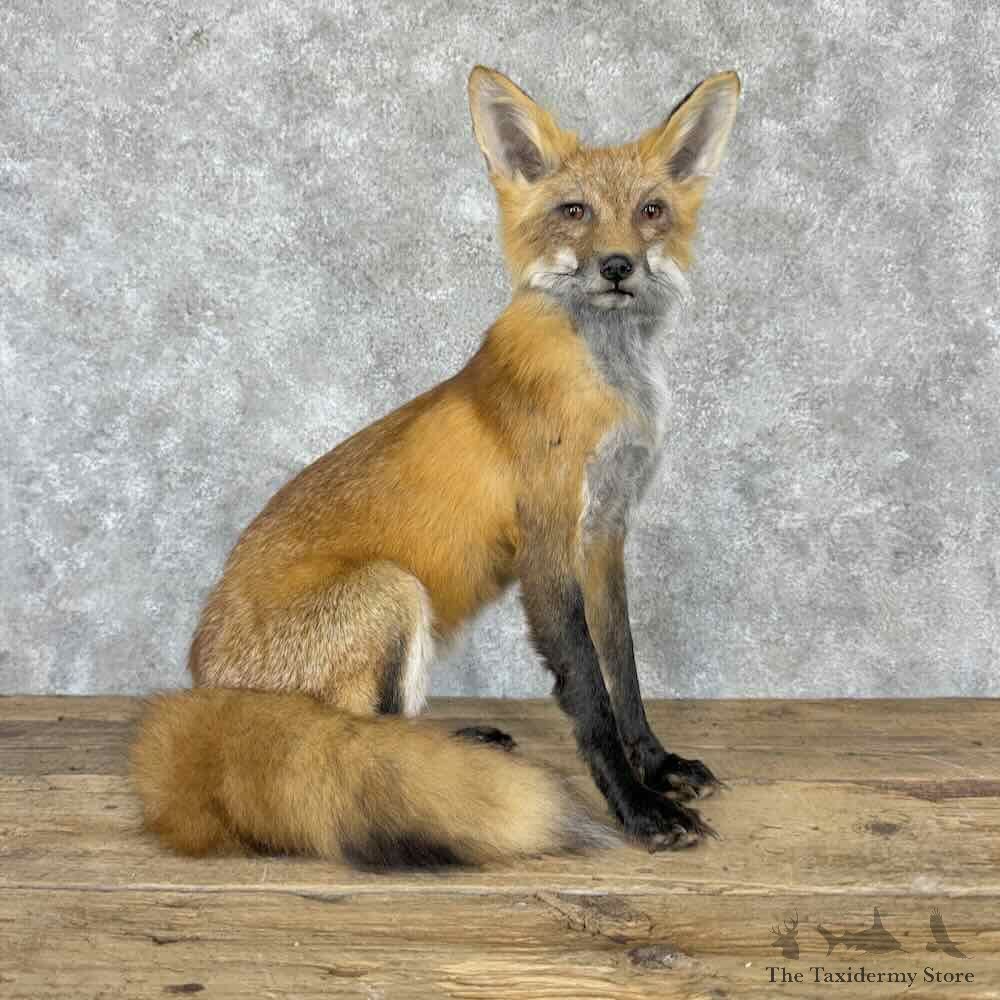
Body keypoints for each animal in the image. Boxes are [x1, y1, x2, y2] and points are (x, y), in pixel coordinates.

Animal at [131, 64, 741, 867]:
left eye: (651, 211)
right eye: (574, 211)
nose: (618, 267)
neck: (610, 382)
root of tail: (207, 694)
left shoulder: (606, 532)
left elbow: (626, 670)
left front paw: (657, 765)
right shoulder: (548, 542)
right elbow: (588, 692)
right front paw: (636, 808)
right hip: (392, 592)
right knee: (361, 750)